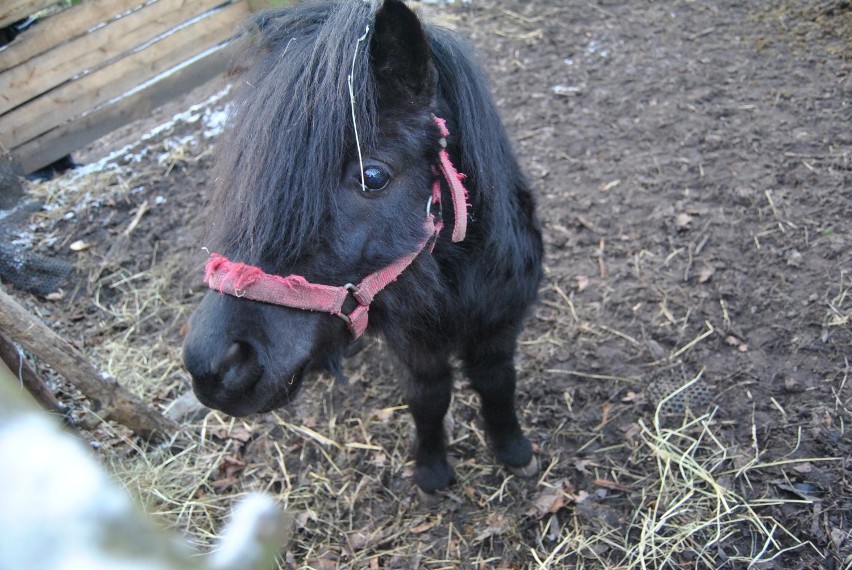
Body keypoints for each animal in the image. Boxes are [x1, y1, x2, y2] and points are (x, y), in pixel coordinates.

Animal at [182, 0, 544, 490]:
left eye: (373, 176)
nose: (213, 366)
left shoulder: (501, 327)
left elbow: (497, 382)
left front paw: (513, 450)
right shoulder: (416, 348)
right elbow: (429, 398)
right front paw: (432, 471)